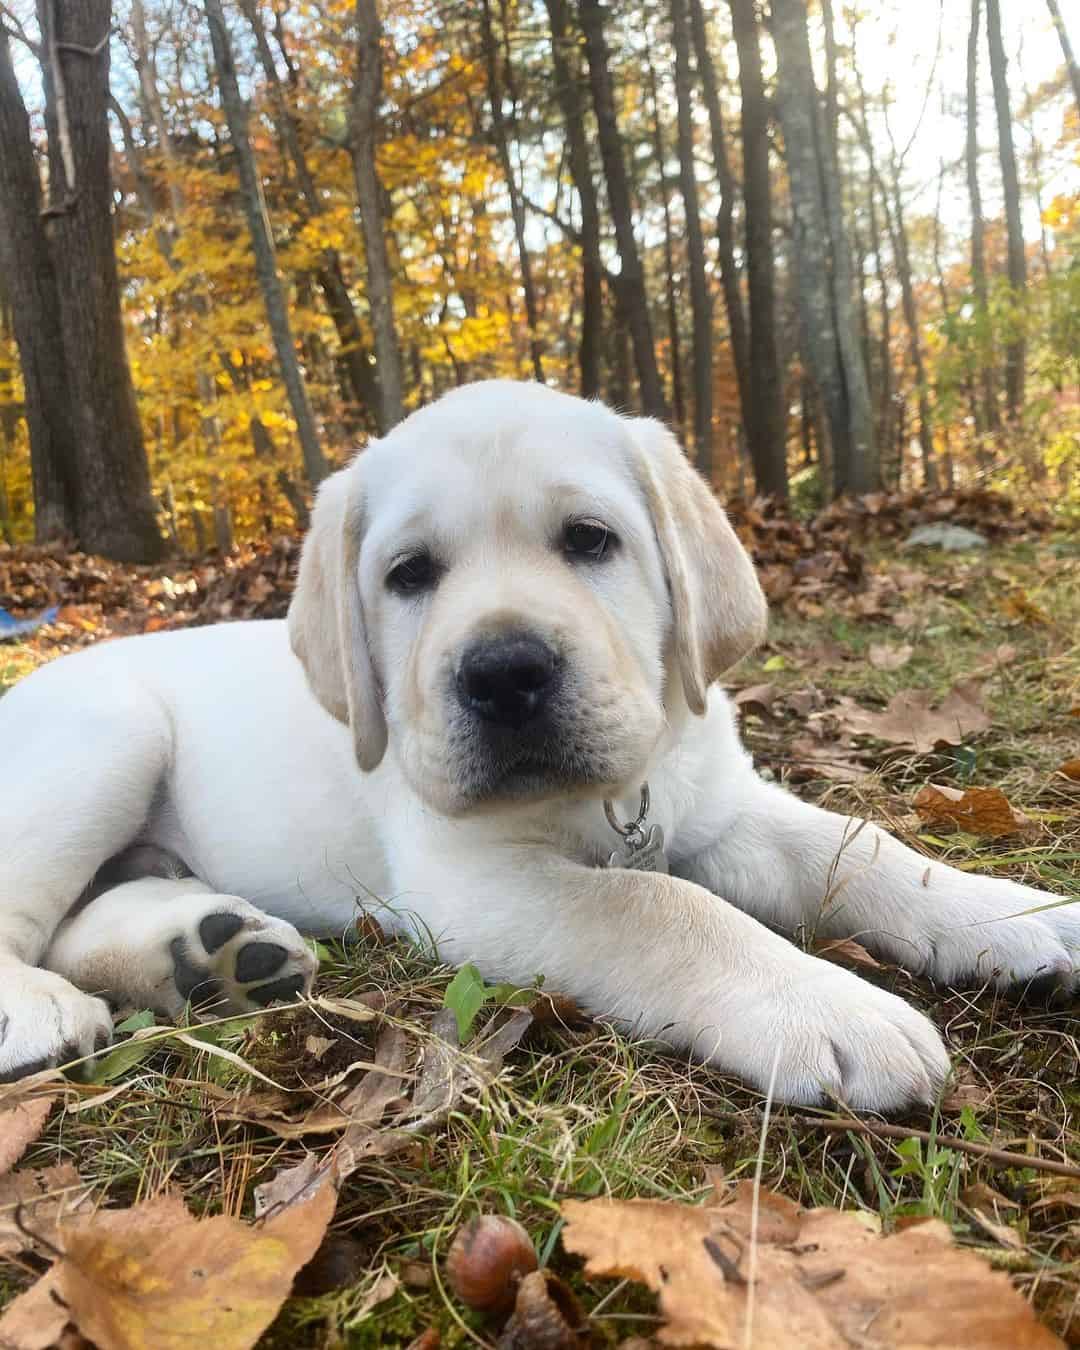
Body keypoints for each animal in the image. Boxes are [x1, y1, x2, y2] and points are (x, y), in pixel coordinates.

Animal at [0, 383, 1074, 1107]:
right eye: (409, 574)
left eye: (590, 540)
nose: (504, 674)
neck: (609, 793)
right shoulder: (474, 884)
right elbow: (660, 906)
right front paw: (825, 1006)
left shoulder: (723, 809)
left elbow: (855, 844)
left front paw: (1009, 911)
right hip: (105, 740)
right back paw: (43, 1010)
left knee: (85, 917)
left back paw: (214, 953)